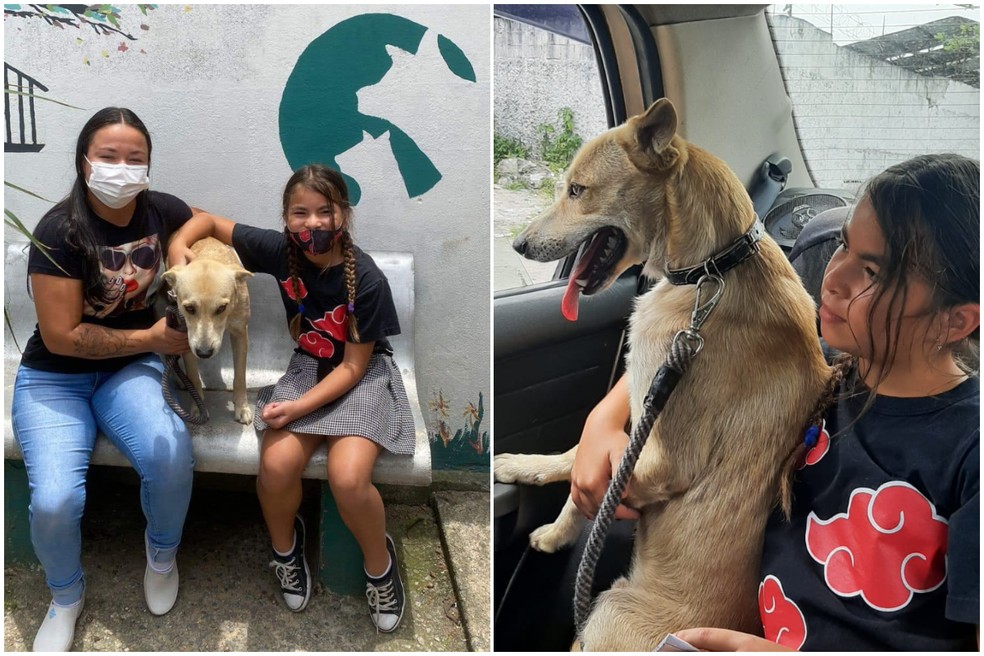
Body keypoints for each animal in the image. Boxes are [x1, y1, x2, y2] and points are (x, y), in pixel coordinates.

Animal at [492, 100, 832, 648]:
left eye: (577, 190)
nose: (519, 245)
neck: (714, 271)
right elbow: (575, 453)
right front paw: (525, 466)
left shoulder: (661, 458)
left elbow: (587, 483)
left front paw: (557, 530)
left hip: (612, 608)